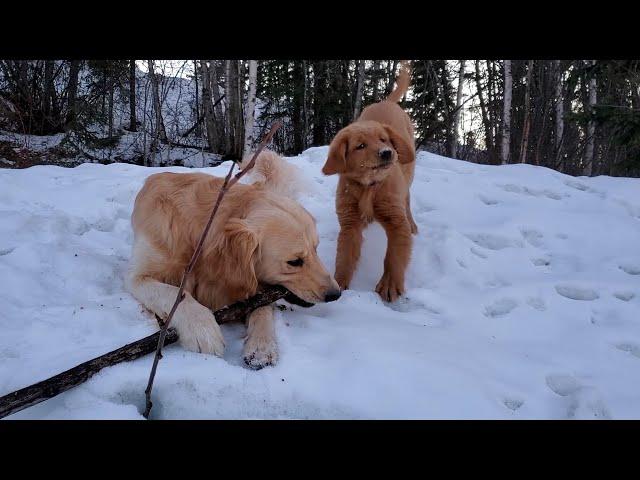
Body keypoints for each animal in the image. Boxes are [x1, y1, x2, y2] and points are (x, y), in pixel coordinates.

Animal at [127, 152, 342, 370]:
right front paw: (202, 329)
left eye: (316, 249)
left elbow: (261, 307)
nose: (336, 294)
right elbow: (175, 293)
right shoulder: (138, 277)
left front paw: (261, 346)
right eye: (295, 261)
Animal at [322, 59, 418, 300]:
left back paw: (413, 224)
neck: (369, 186)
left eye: (383, 140)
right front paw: (340, 284)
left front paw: (390, 284)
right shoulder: (349, 223)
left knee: (407, 199)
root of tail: (387, 101)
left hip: (408, 174)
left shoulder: (396, 220)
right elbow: (345, 256)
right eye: (361, 146)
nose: (387, 153)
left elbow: (394, 255)